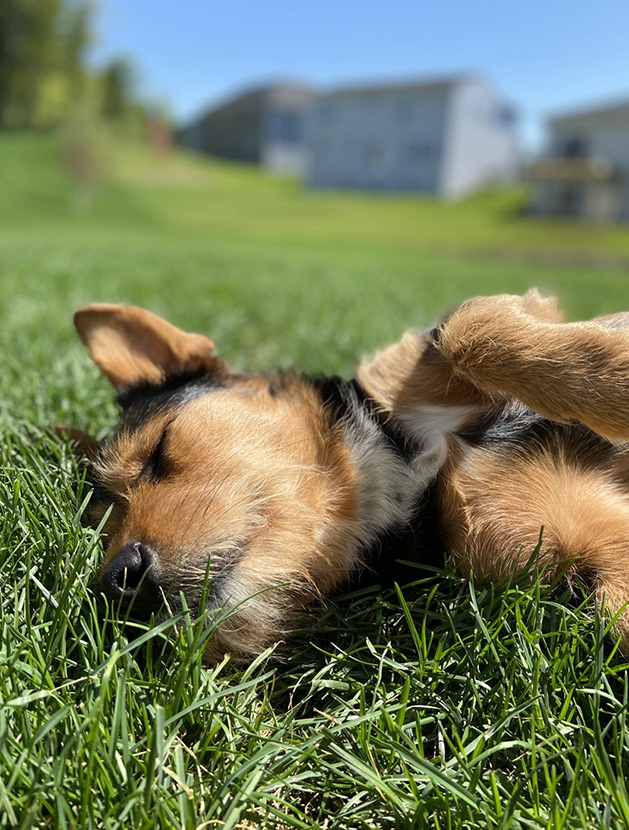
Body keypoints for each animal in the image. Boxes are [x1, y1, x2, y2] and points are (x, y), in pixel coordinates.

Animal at [73, 292, 629, 664]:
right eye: (100, 526)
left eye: (160, 449)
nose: (118, 580)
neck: (401, 470)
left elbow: (467, 323)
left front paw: (612, 375)